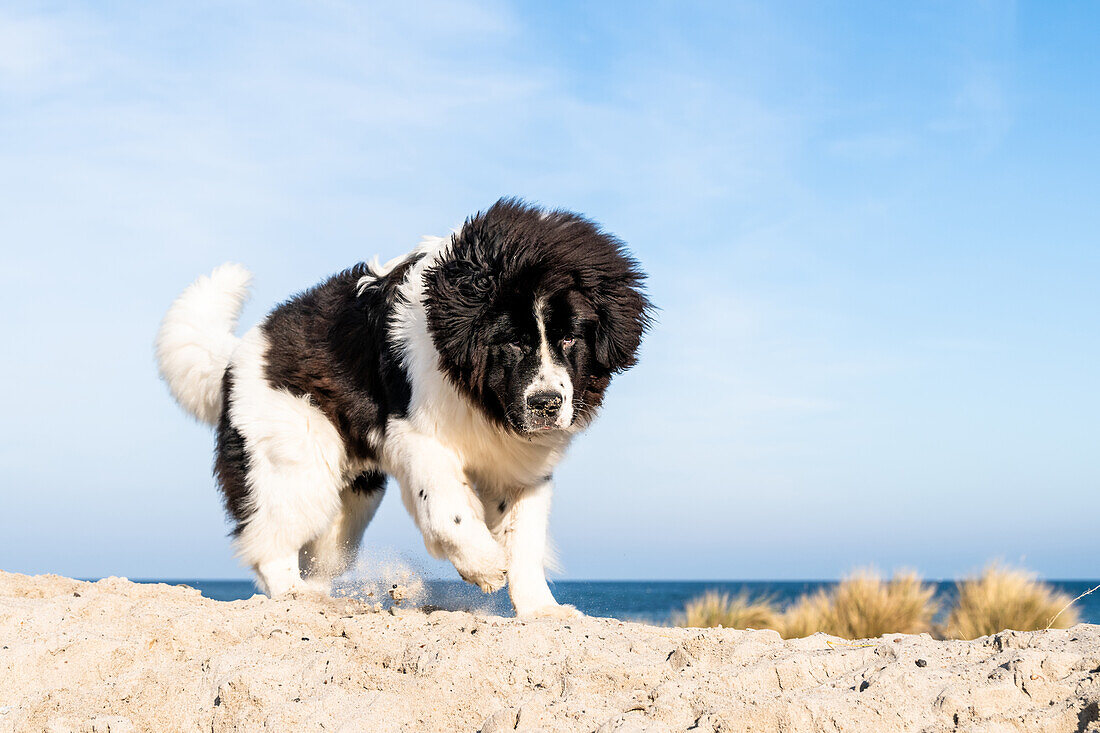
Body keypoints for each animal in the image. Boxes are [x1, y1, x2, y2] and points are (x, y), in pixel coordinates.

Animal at [157, 197, 651, 611]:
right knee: (270, 538)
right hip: (295, 460)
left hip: (351, 500)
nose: (546, 403)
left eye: (570, 338)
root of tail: (234, 359)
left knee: (319, 555)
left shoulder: (519, 465)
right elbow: (450, 510)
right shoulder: (419, 437)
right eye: (512, 341)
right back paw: (296, 596)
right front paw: (483, 564)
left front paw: (542, 612)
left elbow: (524, 539)